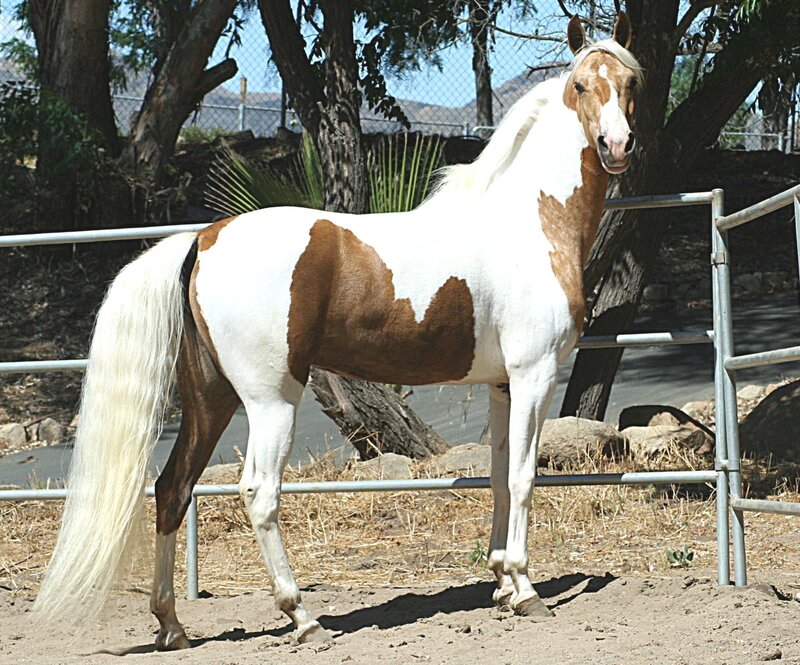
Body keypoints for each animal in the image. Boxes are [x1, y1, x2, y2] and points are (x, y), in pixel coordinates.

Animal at [33, 14, 642, 649]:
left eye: (631, 83)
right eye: (580, 85)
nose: (617, 146)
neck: (528, 221)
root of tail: (203, 238)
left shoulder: (502, 384)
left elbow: (499, 477)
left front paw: (500, 582)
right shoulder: (534, 376)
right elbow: (523, 477)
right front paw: (524, 590)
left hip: (209, 397)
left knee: (172, 488)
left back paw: (173, 626)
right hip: (271, 400)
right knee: (258, 492)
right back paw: (302, 617)